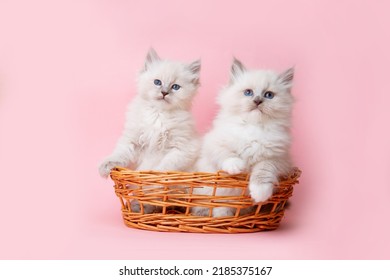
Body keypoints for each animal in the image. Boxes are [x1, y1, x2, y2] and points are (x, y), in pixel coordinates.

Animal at [100, 48, 201, 212]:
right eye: (157, 82)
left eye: (175, 87)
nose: (164, 93)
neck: (158, 115)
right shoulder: (132, 141)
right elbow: (120, 153)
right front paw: (106, 166)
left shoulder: (182, 148)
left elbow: (164, 167)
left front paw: (155, 179)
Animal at [192, 58, 292, 218]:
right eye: (248, 92)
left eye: (268, 95)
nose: (257, 101)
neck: (253, 127)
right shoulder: (214, 144)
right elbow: (227, 154)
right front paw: (236, 167)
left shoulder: (278, 159)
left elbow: (263, 171)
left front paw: (260, 193)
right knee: (215, 207)